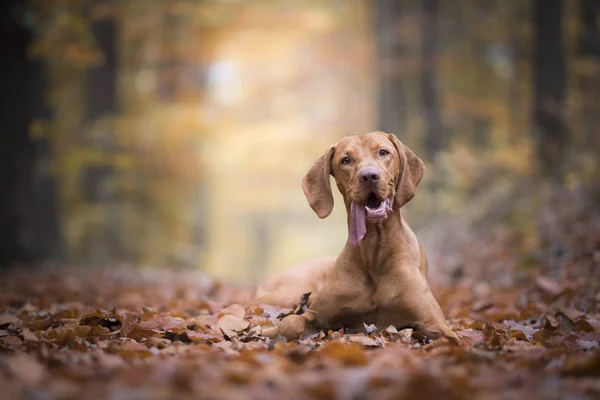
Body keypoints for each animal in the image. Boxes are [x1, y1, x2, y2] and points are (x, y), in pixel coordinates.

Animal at [254, 132, 460, 344]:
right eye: (346, 160)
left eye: (383, 152)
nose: (369, 176)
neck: (373, 252)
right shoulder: (316, 314)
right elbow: (289, 323)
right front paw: (270, 333)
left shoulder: (433, 323)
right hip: (289, 293)